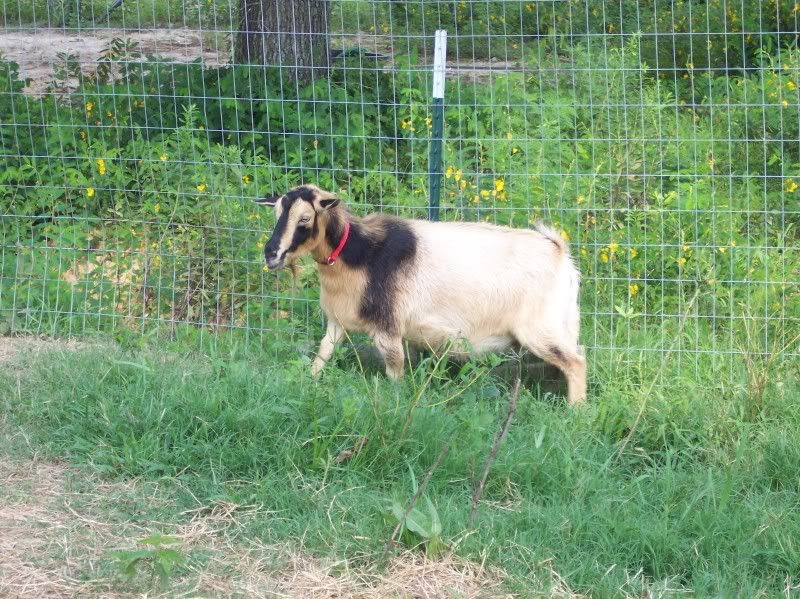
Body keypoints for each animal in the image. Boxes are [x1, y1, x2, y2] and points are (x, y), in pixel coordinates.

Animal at [255, 184, 587, 405]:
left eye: (304, 219)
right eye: (276, 214)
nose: (271, 254)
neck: (359, 255)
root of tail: (559, 252)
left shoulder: (388, 327)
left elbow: (394, 371)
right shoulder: (338, 321)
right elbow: (322, 354)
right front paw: (308, 383)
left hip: (541, 329)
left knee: (576, 363)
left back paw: (575, 412)